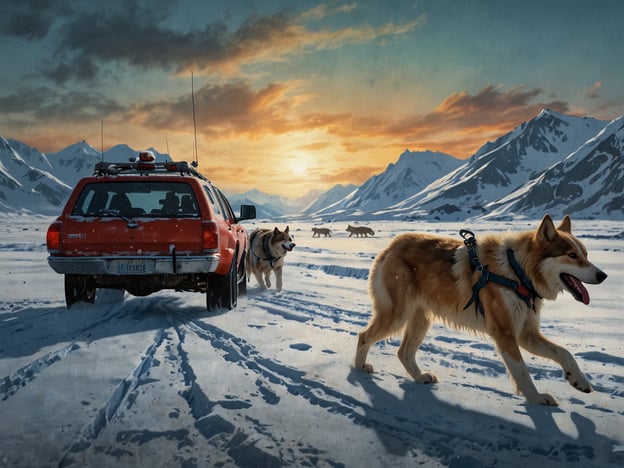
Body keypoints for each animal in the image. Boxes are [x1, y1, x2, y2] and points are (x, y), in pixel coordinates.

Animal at [354, 216, 608, 406]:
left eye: (586, 255)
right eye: (572, 255)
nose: (603, 275)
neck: (517, 272)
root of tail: (392, 245)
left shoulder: (527, 335)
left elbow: (564, 353)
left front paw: (578, 380)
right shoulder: (506, 334)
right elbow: (522, 372)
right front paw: (536, 398)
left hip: (421, 320)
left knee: (404, 352)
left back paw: (420, 377)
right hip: (397, 316)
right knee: (364, 336)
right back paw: (359, 369)